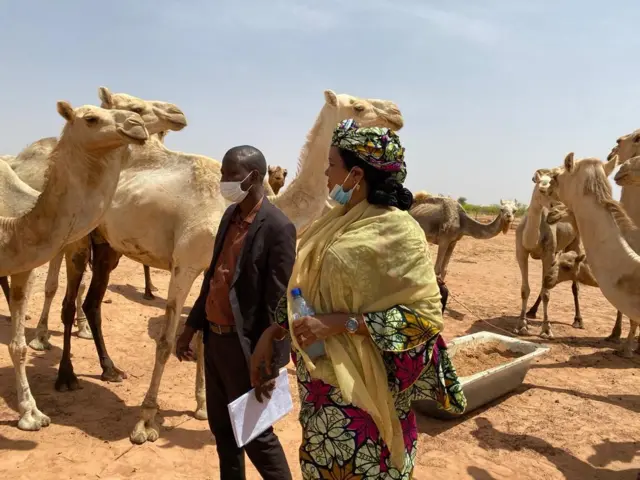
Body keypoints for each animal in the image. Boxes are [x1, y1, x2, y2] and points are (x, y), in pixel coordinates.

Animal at [31, 88, 400, 444]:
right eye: (358, 107)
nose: (396, 113)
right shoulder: (184, 265)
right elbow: (165, 342)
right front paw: (146, 421)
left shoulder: (210, 267)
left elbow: (202, 337)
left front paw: (201, 407)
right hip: (79, 237)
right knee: (68, 300)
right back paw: (65, 375)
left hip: (108, 245)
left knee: (92, 301)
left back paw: (110, 369)